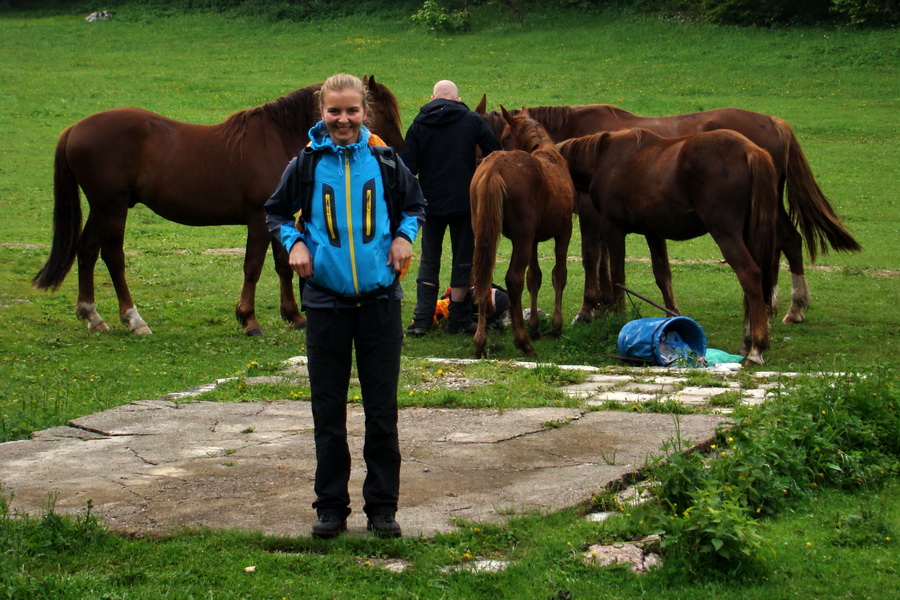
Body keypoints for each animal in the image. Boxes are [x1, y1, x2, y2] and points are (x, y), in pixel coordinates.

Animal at [30, 75, 404, 336]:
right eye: (385, 114)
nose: (397, 153)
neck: (276, 138)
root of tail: (74, 128)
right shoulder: (258, 220)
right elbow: (253, 266)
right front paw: (249, 319)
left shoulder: (276, 218)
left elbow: (283, 265)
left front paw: (294, 316)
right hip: (113, 208)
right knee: (112, 257)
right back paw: (134, 319)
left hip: (101, 208)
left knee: (87, 250)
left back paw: (92, 315)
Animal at [468, 107, 572, 356]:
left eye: (505, 136)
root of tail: (494, 167)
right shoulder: (564, 232)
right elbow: (559, 275)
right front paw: (555, 326)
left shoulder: (533, 240)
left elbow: (534, 278)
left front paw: (535, 326)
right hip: (522, 240)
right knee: (513, 280)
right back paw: (523, 341)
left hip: (487, 237)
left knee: (482, 278)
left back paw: (480, 342)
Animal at [482, 105, 860, 326]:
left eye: (501, 135)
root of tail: (774, 123)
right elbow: (611, 264)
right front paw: (605, 304)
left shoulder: (592, 215)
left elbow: (593, 260)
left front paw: (590, 308)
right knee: (786, 241)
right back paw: (779, 304)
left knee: (783, 242)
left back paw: (786, 306)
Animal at [560, 130, 784, 366]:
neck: (603, 158)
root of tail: (749, 150)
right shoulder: (653, 232)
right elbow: (663, 276)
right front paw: (672, 318)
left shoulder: (614, 229)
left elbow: (617, 278)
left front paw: (619, 318)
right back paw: (749, 341)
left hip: (726, 234)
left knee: (750, 276)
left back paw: (756, 349)